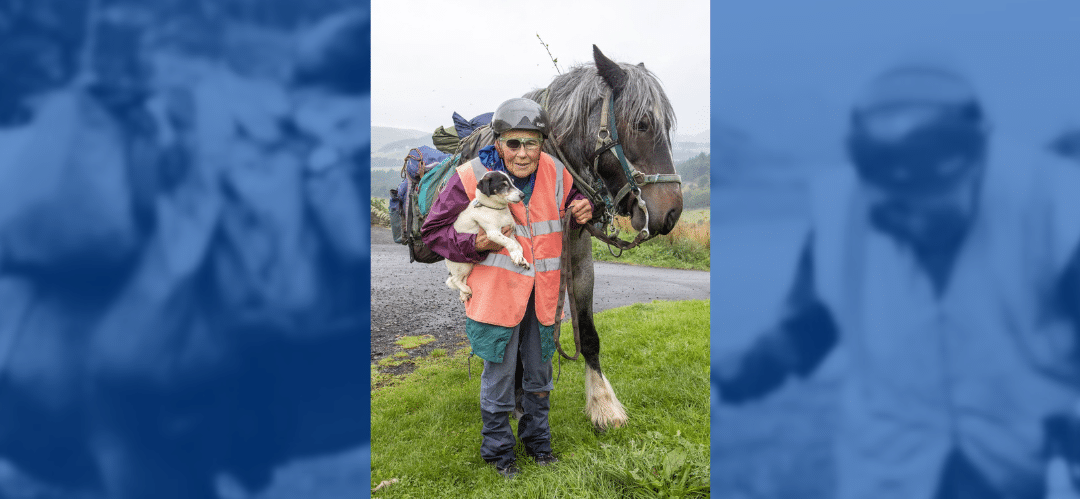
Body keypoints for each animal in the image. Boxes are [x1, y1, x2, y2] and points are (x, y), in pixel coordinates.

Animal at [447, 169, 531, 302]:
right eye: (503, 185)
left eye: (512, 182)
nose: (522, 195)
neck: (496, 210)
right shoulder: (493, 233)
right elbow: (511, 244)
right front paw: (517, 256)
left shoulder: (510, 233)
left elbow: (518, 246)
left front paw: (520, 258)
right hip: (462, 266)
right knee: (453, 280)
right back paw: (466, 290)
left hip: (469, 266)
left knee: (462, 279)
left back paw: (464, 293)